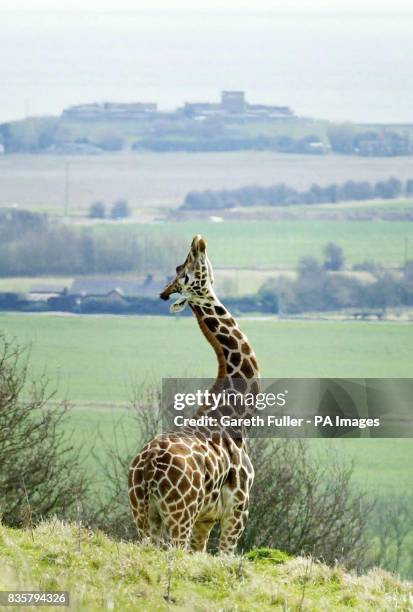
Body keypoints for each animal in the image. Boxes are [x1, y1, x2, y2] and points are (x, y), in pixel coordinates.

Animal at [127, 234, 260, 556]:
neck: (237, 415)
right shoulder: (238, 511)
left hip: (143, 515)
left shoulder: (205, 519)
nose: (198, 240)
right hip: (180, 515)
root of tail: (147, 470)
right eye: (186, 270)